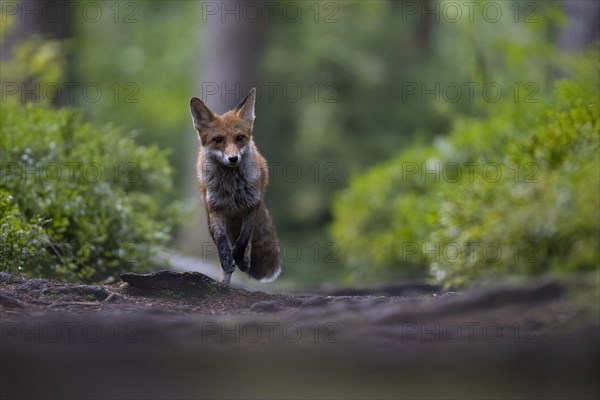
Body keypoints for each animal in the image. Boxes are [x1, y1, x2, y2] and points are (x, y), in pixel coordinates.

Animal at [190, 89, 282, 286]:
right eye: (218, 140)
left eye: (240, 138)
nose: (233, 158)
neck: (232, 187)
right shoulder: (216, 208)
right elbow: (222, 241)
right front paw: (227, 260)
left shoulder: (252, 206)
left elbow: (243, 241)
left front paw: (239, 257)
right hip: (209, 219)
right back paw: (224, 282)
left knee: (248, 241)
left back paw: (243, 261)